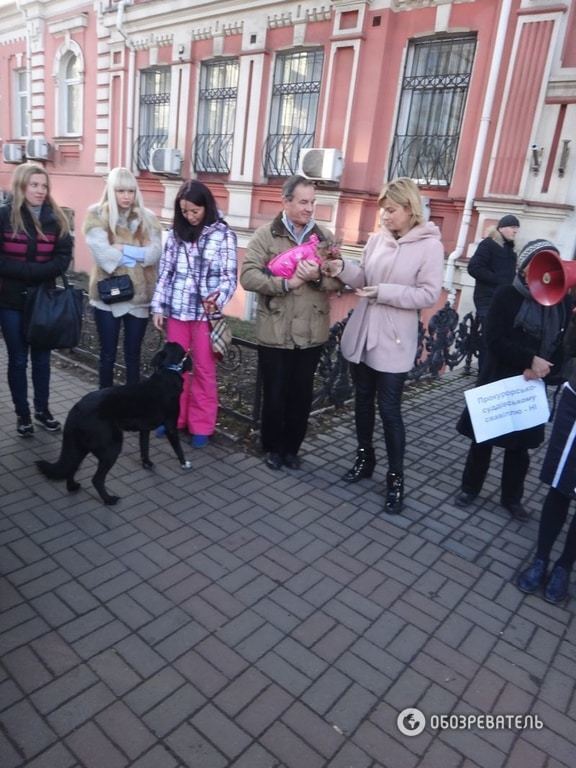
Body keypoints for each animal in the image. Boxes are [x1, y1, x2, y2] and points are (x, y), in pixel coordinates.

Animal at [36, 342, 194, 504]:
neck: (168, 371)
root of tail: (76, 409)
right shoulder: (170, 427)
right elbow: (178, 449)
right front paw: (185, 464)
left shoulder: (144, 430)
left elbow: (145, 449)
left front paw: (147, 463)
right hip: (112, 447)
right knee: (96, 479)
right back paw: (109, 499)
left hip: (79, 447)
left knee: (71, 468)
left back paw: (73, 487)